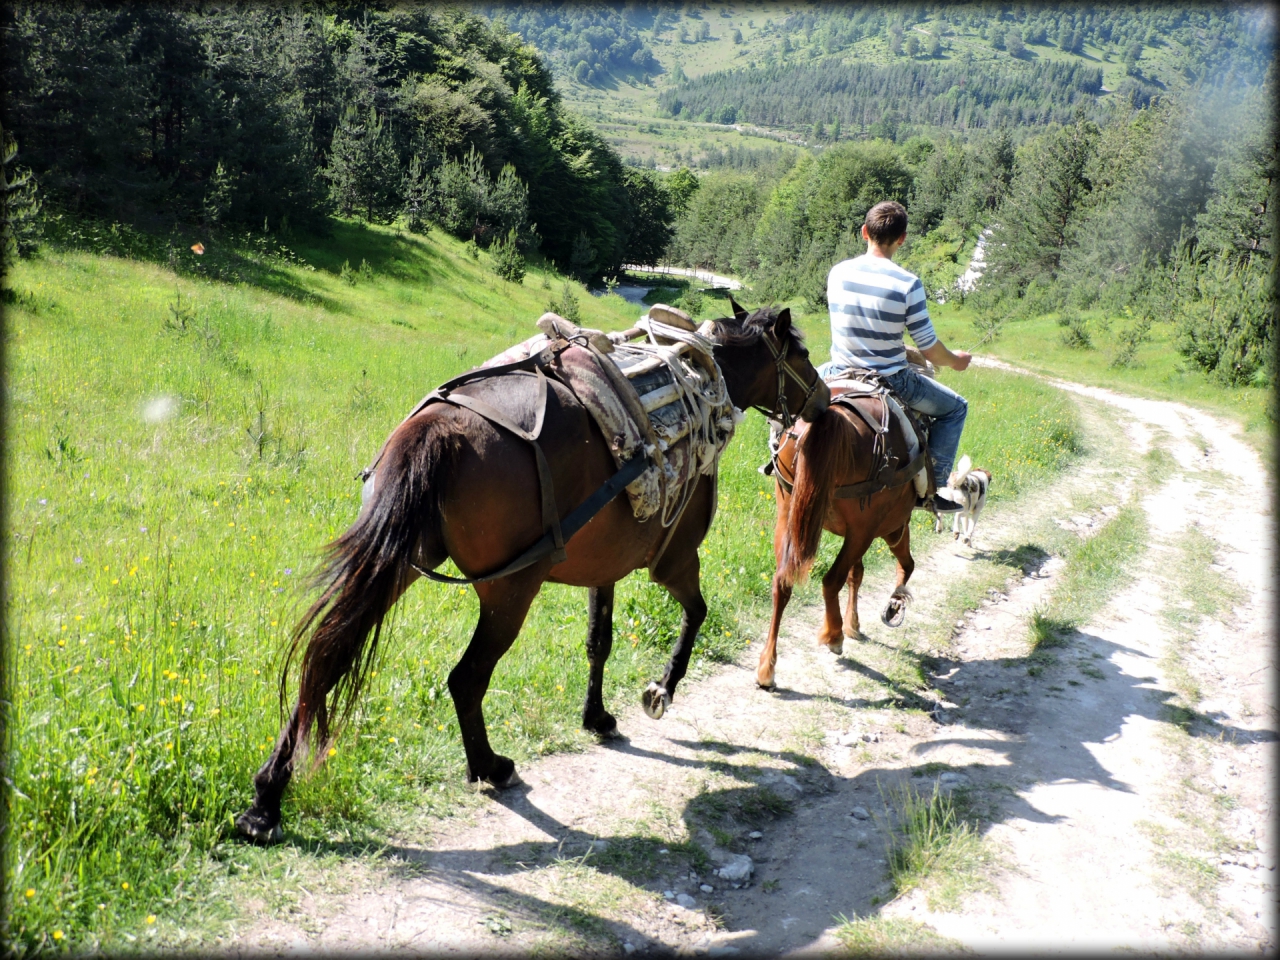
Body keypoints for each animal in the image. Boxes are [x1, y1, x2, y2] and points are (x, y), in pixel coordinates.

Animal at [239, 304, 829, 839]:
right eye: (801, 354)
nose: (823, 401)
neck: (701, 374)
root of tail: (437, 428)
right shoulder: (674, 561)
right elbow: (696, 615)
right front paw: (661, 689)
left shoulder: (605, 566)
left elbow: (598, 642)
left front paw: (597, 717)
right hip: (510, 592)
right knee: (465, 678)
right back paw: (490, 767)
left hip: (398, 565)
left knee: (326, 657)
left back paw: (266, 800)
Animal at [752, 389, 926, 691]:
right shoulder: (891, 529)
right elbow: (903, 565)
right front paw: (891, 606)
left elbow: (857, 573)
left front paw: (855, 623)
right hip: (866, 530)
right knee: (832, 580)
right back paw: (834, 635)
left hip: (788, 515)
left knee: (782, 582)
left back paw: (767, 668)